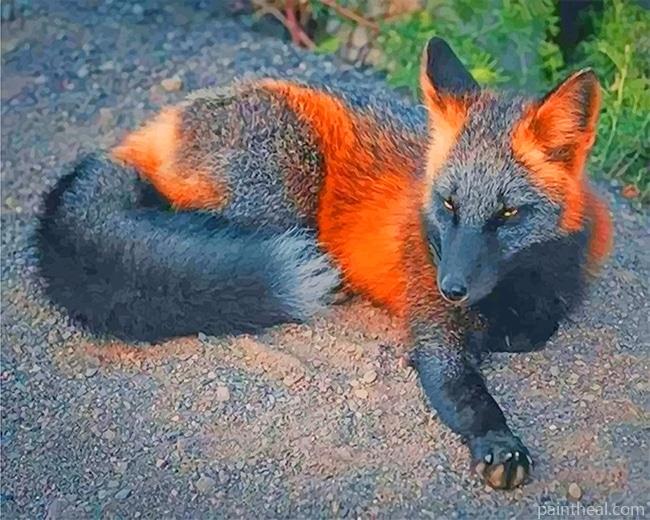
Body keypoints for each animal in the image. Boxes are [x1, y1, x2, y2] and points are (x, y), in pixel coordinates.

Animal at [37, 38, 613, 490]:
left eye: (508, 213)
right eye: (448, 205)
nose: (450, 286)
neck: (516, 286)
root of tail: (164, 121)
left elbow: (539, 326)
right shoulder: (432, 328)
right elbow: (466, 392)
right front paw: (497, 440)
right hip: (283, 192)